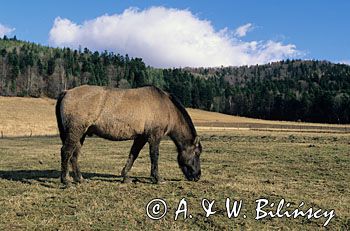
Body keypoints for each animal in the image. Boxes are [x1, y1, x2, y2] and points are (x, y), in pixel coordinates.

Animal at [55, 84, 202, 185]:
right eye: (197, 153)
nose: (198, 176)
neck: (166, 105)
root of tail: (67, 92)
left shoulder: (141, 137)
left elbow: (133, 154)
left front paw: (125, 176)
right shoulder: (154, 136)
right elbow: (154, 156)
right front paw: (157, 178)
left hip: (81, 134)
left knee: (74, 154)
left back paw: (80, 179)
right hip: (76, 131)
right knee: (66, 151)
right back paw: (66, 180)